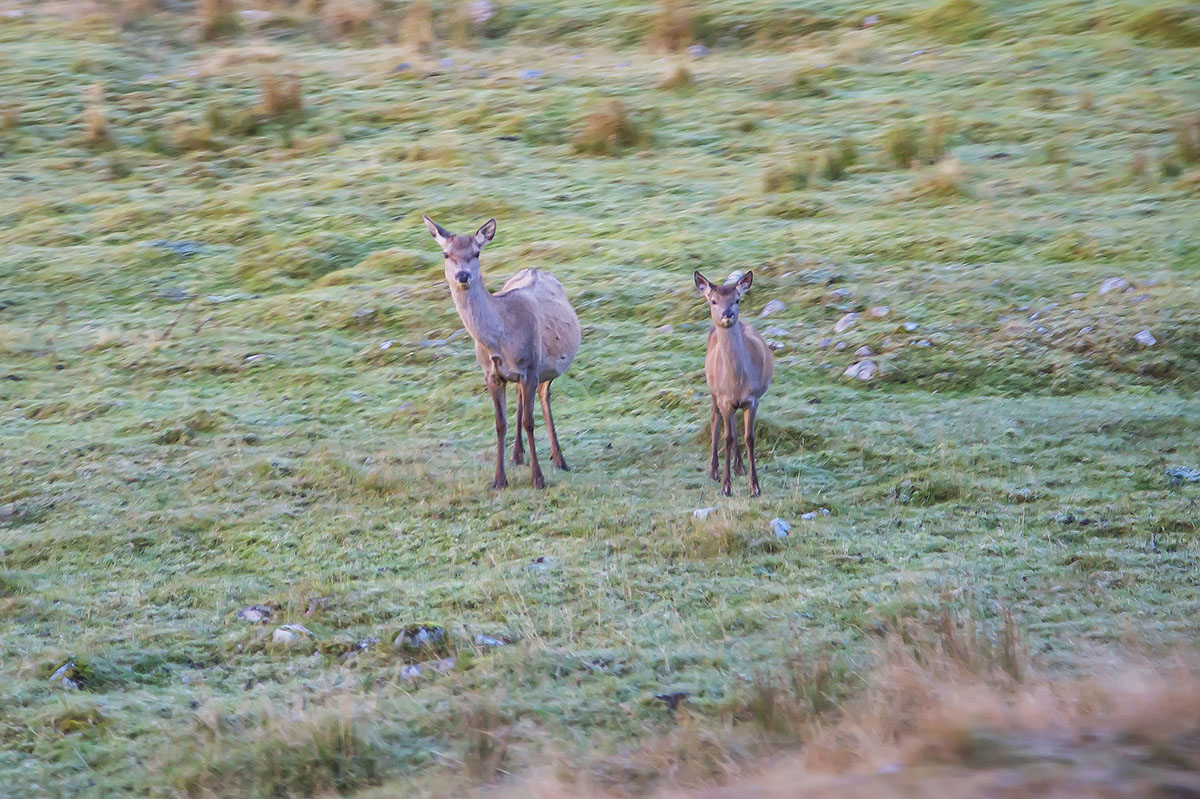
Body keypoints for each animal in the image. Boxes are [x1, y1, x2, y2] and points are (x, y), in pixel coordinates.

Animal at [422, 214, 580, 484]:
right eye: (445, 254)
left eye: (476, 252)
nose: (462, 276)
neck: (501, 341)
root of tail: (535, 269)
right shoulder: (490, 374)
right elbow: (499, 423)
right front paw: (499, 480)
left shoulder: (531, 367)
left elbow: (529, 422)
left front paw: (538, 479)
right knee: (521, 396)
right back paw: (518, 455)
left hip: (548, 365)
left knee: (544, 396)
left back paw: (560, 460)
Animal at [696, 271, 777, 494]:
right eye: (713, 300)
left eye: (737, 299)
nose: (727, 314)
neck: (737, 382)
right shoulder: (724, 399)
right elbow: (728, 437)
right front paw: (726, 487)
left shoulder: (753, 399)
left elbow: (749, 437)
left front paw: (755, 487)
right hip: (713, 390)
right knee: (715, 419)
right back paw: (714, 471)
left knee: (733, 424)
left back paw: (739, 466)